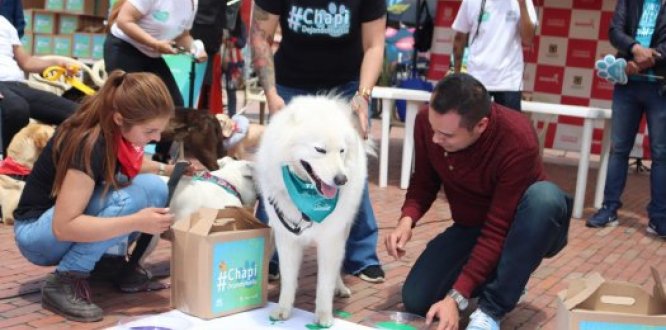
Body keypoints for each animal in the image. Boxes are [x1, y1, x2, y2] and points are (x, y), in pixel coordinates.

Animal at [254, 94, 368, 326]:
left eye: (341, 151)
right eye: (320, 150)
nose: (341, 179)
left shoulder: (331, 239)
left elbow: (324, 283)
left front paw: (324, 316)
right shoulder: (286, 237)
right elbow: (288, 279)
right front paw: (283, 310)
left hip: (344, 231)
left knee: (338, 266)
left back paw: (340, 287)